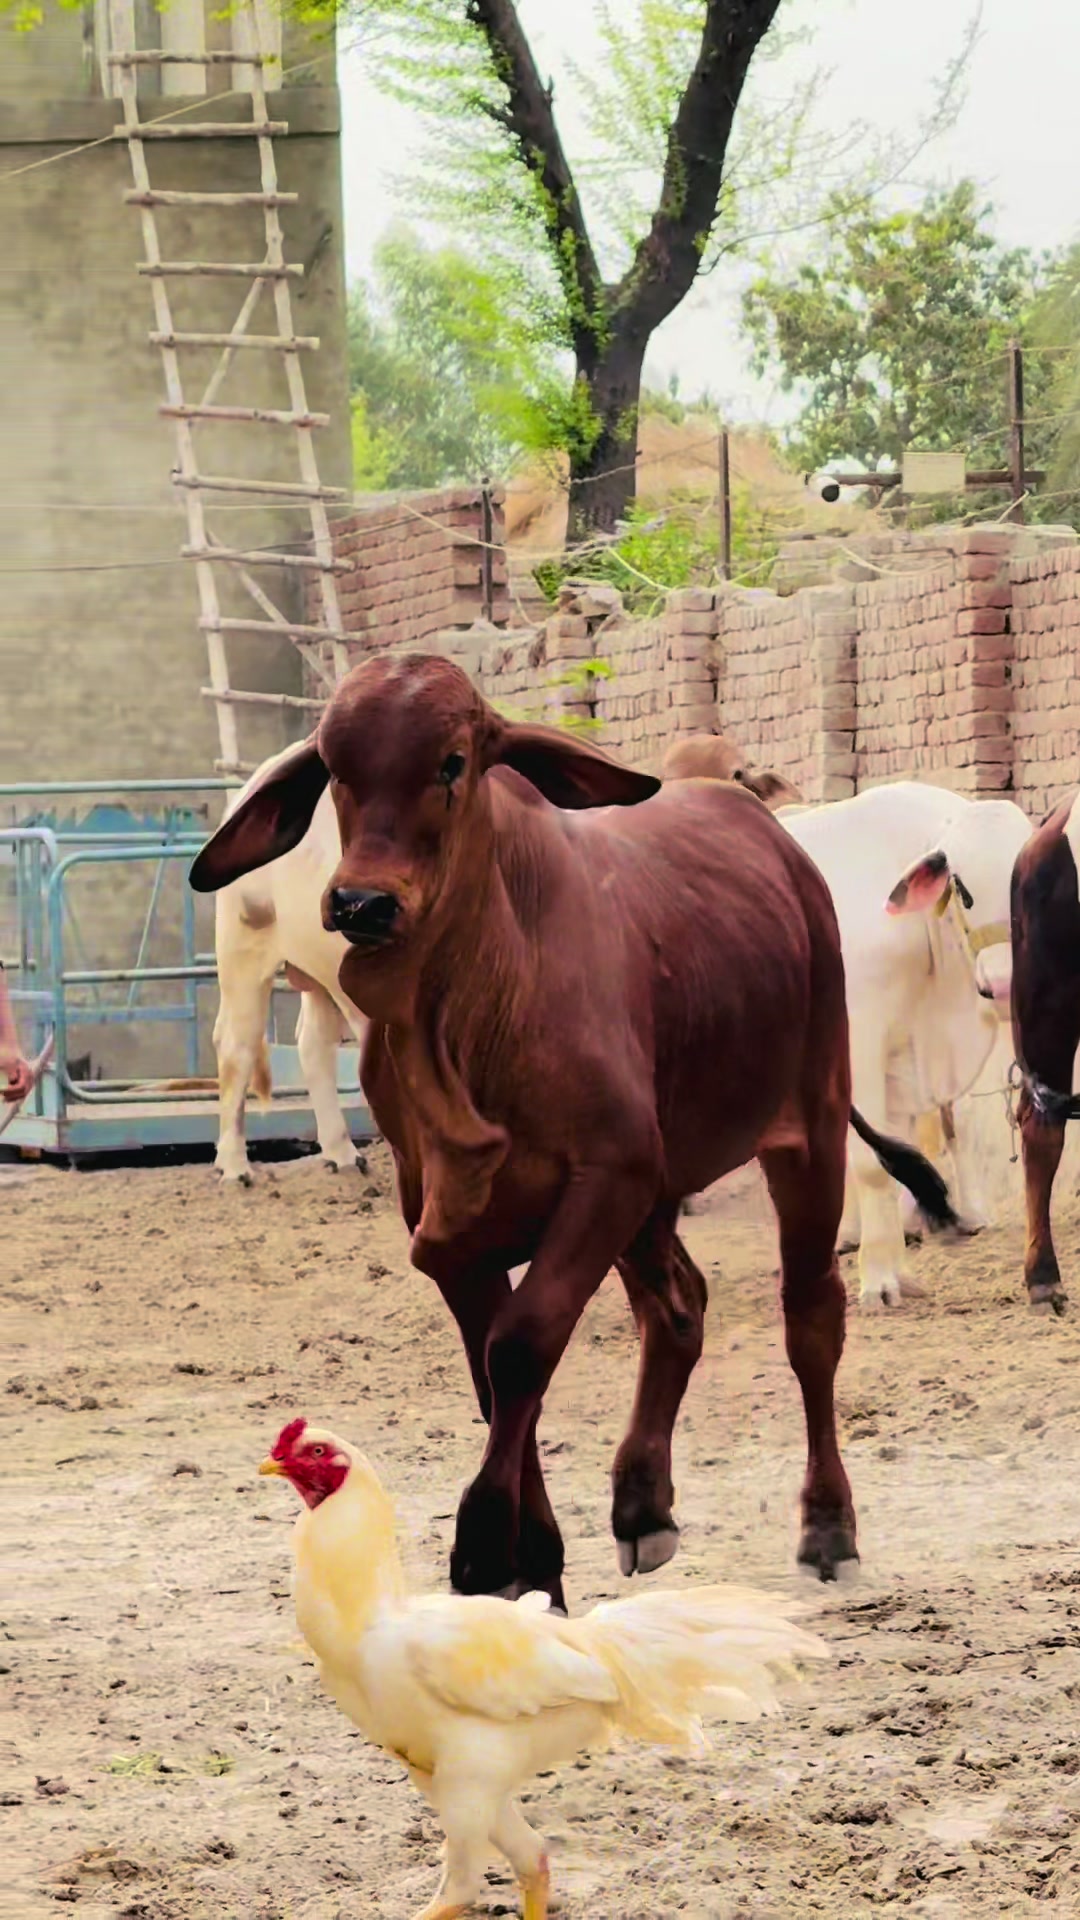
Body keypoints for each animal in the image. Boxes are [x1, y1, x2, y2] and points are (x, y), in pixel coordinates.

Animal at [207, 742, 367, 1184]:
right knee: (237, 1046)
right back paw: (234, 1168)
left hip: (323, 971)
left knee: (312, 1043)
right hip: (243, 949)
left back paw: (343, 1155)